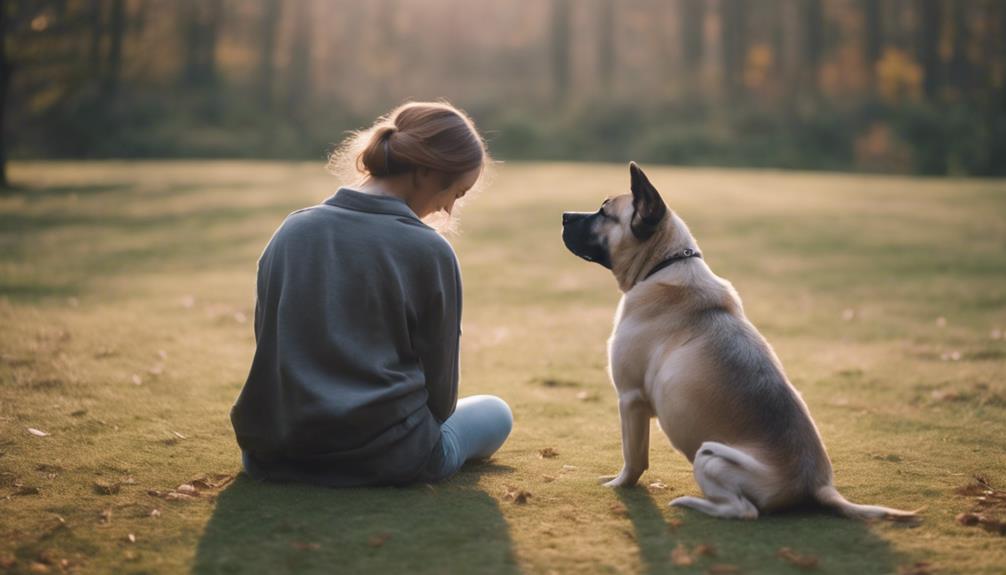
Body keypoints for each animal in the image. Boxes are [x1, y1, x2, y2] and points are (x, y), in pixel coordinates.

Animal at [563, 162, 917, 522]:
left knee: (743, 510)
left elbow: (633, 461)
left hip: (710, 455)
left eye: (604, 212)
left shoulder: (630, 400)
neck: (665, 263)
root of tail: (816, 486)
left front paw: (619, 484)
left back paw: (692, 504)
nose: (564, 216)